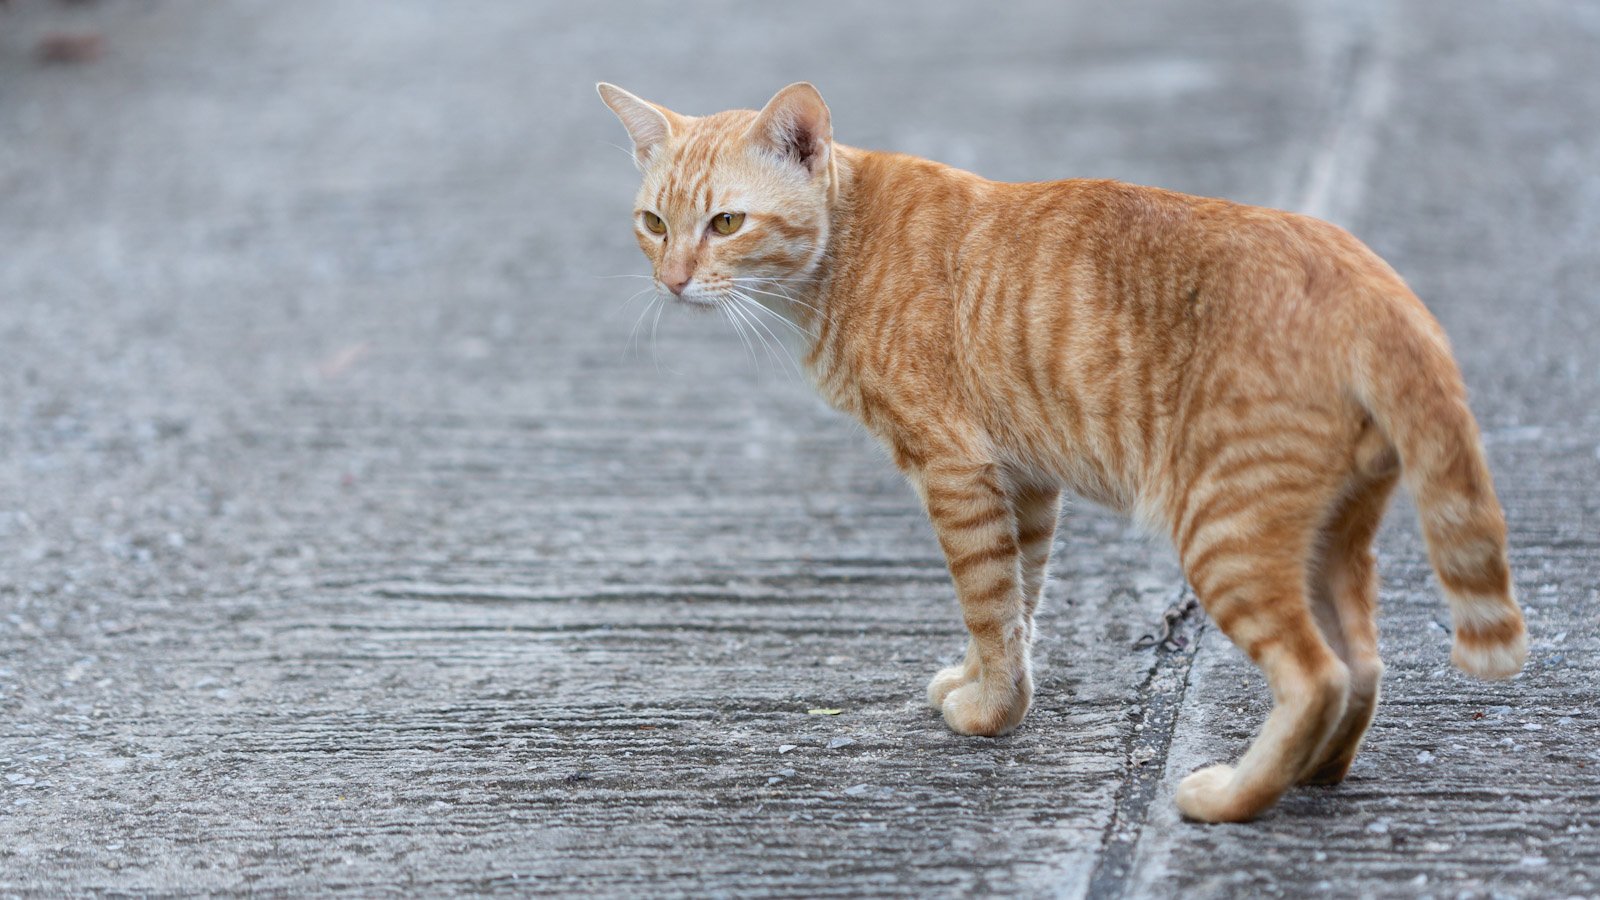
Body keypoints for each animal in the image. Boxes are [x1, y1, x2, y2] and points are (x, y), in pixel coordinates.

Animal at [601, 80, 1523, 816]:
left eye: (726, 222)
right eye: (654, 224)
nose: (672, 281)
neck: (845, 247)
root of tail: (1374, 282)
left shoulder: (956, 469)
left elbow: (986, 597)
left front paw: (989, 712)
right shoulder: (1026, 478)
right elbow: (1019, 600)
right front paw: (991, 685)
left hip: (1224, 529)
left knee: (1317, 675)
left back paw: (1232, 797)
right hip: (1331, 535)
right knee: (1362, 666)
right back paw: (1317, 774)